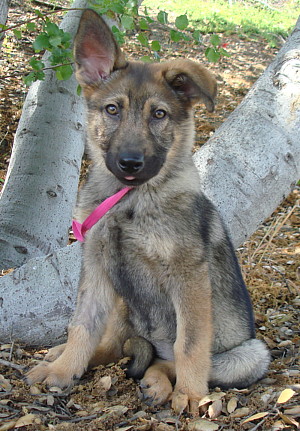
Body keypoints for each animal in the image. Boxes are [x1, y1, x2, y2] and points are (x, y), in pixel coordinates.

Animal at [27, 8, 270, 416]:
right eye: (112, 110)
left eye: (158, 114)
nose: (130, 163)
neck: (131, 201)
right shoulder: (96, 267)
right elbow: (82, 325)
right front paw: (63, 370)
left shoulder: (188, 277)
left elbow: (190, 344)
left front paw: (190, 394)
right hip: (123, 303)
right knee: (114, 345)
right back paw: (60, 356)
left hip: (250, 354)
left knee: (168, 359)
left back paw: (161, 382)